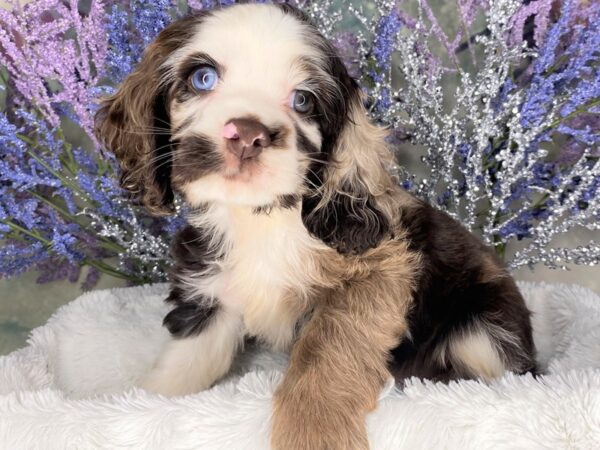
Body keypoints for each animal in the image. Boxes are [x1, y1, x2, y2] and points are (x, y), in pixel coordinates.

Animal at [96, 4, 536, 450]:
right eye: (203, 78)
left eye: (303, 100)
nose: (248, 134)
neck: (264, 220)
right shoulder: (214, 287)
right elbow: (186, 361)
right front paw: (144, 404)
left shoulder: (375, 274)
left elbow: (326, 353)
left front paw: (314, 431)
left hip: (483, 329)